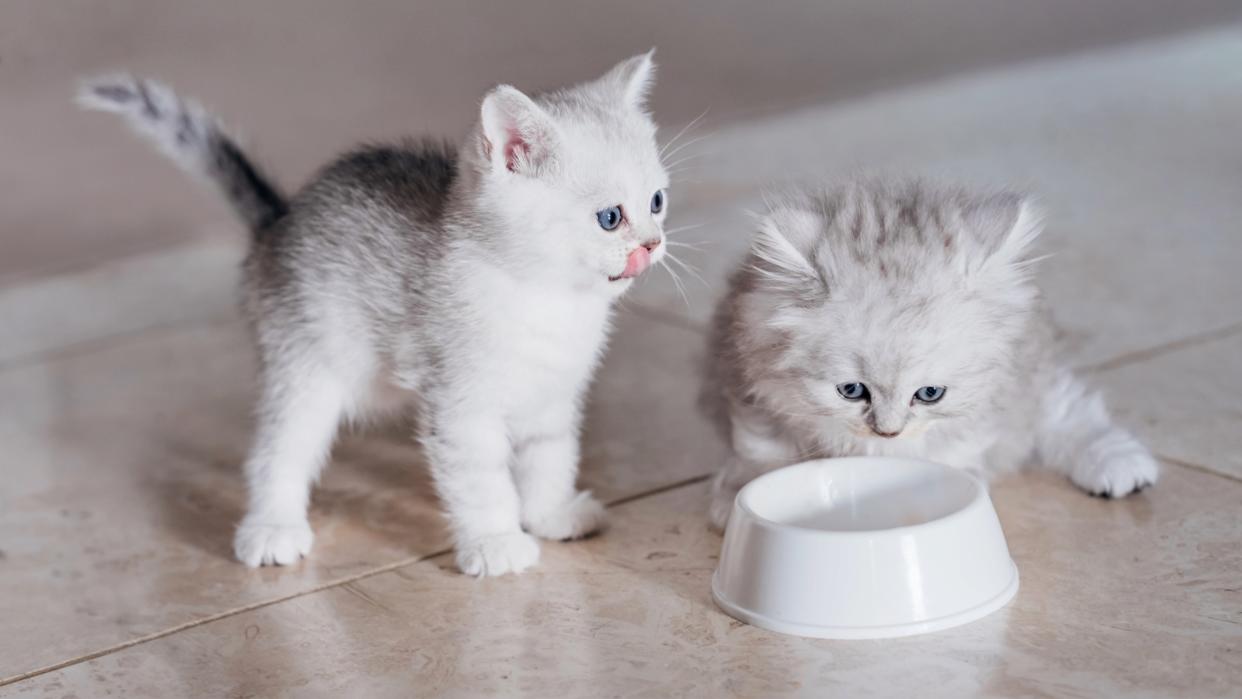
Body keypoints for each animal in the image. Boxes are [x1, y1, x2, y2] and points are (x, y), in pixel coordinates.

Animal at [82, 51, 675, 576]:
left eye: (657, 202)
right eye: (609, 217)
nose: (653, 244)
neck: (548, 299)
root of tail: (278, 222)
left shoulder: (553, 396)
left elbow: (549, 458)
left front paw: (551, 515)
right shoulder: (459, 407)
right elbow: (482, 480)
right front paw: (496, 542)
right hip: (306, 367)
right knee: (277, 450)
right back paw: (272, 529)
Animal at [705, 177, 1157, 528]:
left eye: (929, 394)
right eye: (851, 391)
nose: (887, 431)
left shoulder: (985, 408)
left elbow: (952, 451)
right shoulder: (748, 384)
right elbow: (760, 448)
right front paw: (738, 496)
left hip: (1032, 373)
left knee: (1064, 412)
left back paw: (1121, 466)